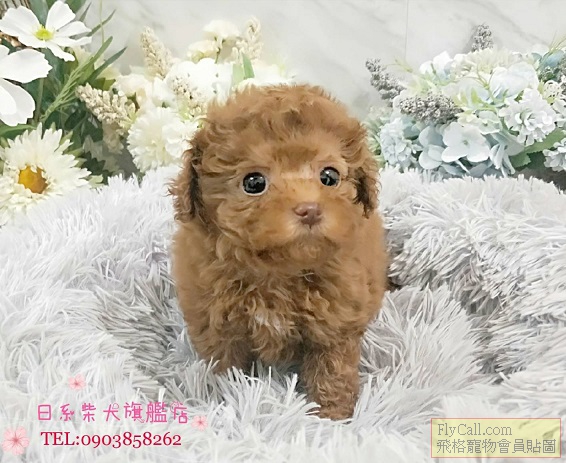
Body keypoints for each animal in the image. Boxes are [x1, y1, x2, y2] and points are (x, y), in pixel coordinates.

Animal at [170, 84, 388, 420]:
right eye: (254, 182)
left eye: (329, 177)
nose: (309, 209)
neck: (277, 273)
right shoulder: (217, 324)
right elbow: (227, 368)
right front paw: (231, 397)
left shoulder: (336, 322)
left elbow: (332, 370)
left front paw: (332, 417)